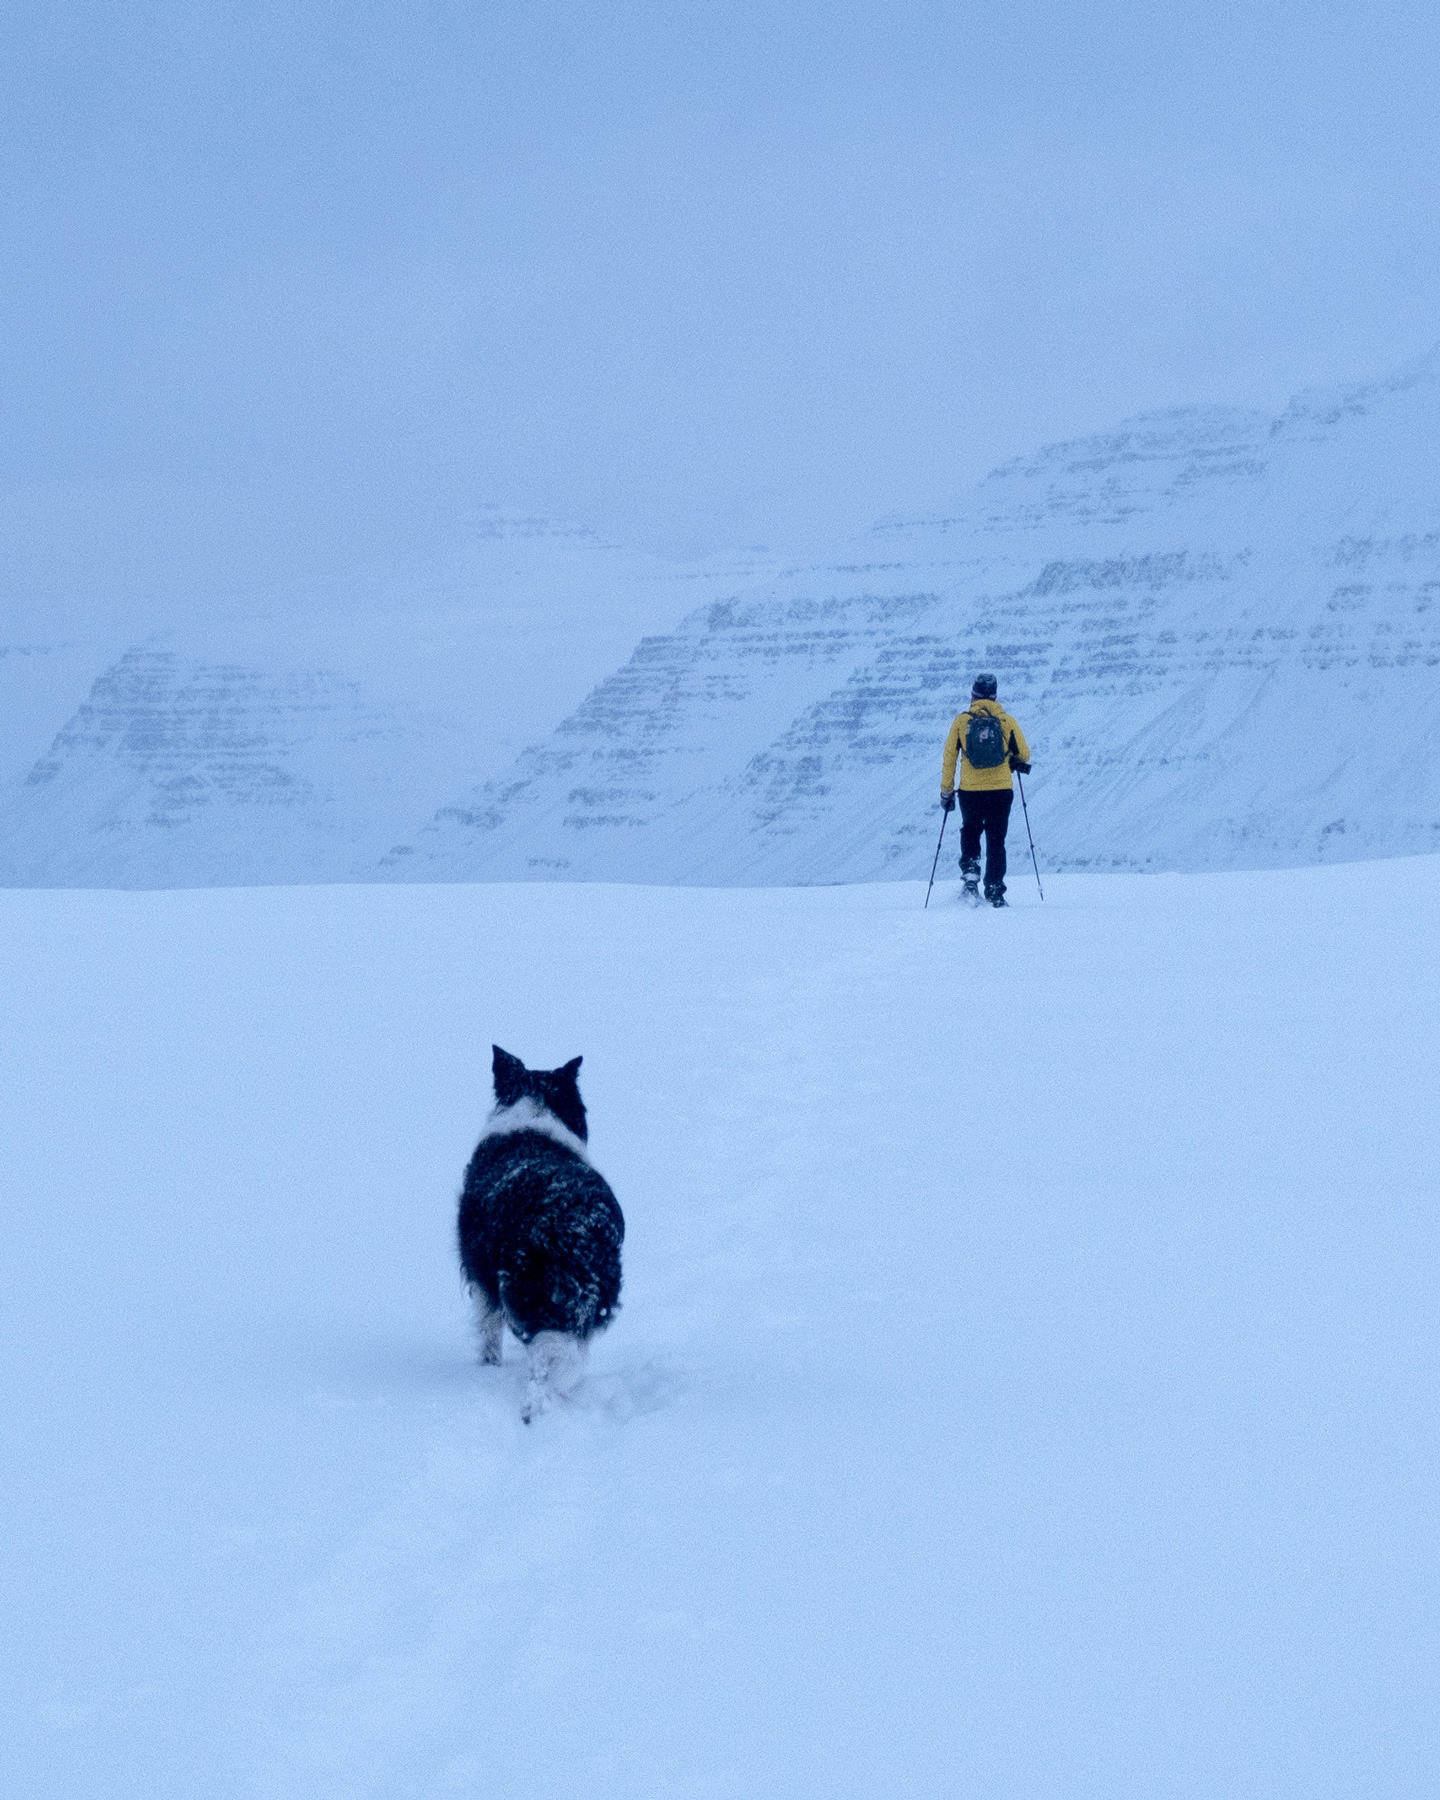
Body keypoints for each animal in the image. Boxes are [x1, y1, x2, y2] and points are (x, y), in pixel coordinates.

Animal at [459, 1044, 622, 1418]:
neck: (535, 1107)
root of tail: (569, 1221)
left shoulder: (482, 1276)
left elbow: (489, 1333)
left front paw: (489, 1367)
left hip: (518, 1284)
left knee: (541, 1356)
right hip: (596, 1294)